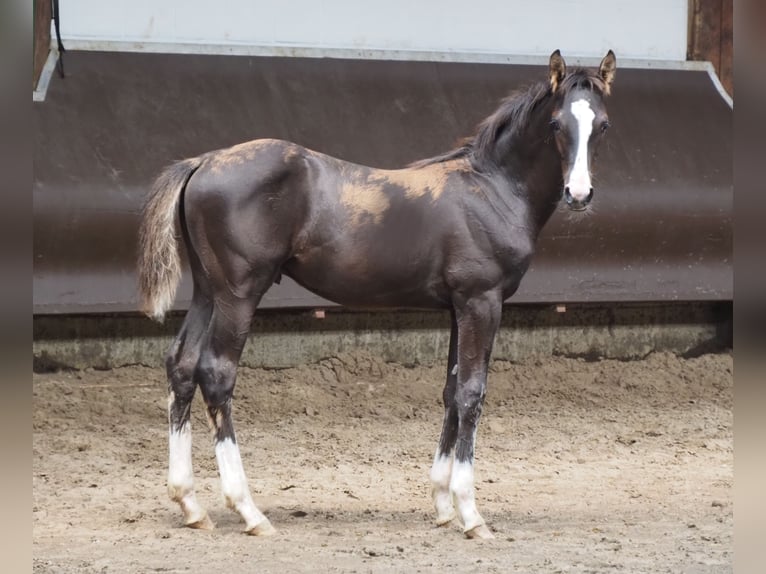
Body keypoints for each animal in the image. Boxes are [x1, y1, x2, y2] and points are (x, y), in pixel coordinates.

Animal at [138, 49, 616, 540]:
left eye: (602, 124)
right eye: (557, 123)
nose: (579, 194)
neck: (492, 189)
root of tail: (204, 161)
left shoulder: (456, 308)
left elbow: (450, 391)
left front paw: (442, 504)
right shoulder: (482, 301)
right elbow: (471, 393)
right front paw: (470, 513)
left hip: (207, 291)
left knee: (182, 366)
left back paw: (191, 504)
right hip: (238, 293)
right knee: (216, 373)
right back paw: (249, 510)